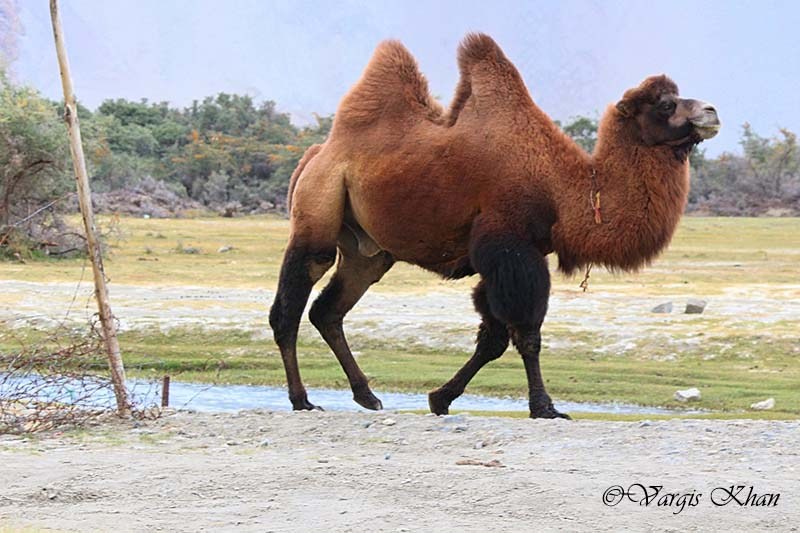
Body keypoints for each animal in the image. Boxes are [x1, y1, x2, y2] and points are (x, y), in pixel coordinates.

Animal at [268, 33, 720, 418]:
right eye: (665, 104)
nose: (712, 110)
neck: (562, 187)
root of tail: (315, 154)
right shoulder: (510, 246)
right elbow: (526, 333)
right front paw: (545, 407)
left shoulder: (512, 256)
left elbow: (493, 338)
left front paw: (440, 398)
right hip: (318, 211)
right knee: (290, 306)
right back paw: (302, 400)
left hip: (370, 252)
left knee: (329, 310)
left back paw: (367, 395)